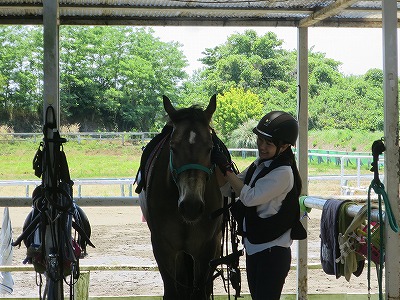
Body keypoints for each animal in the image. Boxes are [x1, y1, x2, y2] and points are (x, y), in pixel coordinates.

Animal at [140, 95, 222, 298]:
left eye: (210, 148)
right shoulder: (163, 248)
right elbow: (172, 291)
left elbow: (201, 292)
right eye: (173, 147)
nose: (191, 206)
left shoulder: (207, 248)